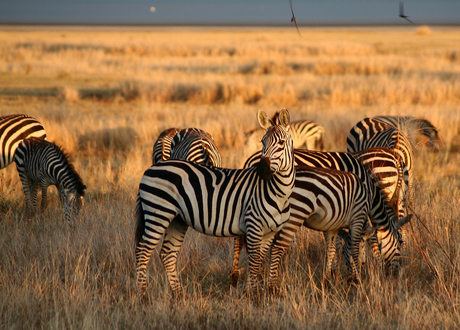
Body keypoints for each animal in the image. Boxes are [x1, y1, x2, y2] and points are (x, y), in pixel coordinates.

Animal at [135, 109, 296, 296]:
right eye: (262, 142)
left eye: (281, 142)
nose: (261, 170)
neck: (279, 193)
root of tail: (151, 168)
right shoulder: (253, 225)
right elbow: (255, 260)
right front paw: (252, 295)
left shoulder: (270, 231)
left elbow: (263, 259)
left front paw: (264, 292)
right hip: (158, 213)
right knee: (143, 251)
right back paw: (143, 295)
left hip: (177, 219)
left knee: (167, 254)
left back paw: (179, 295)